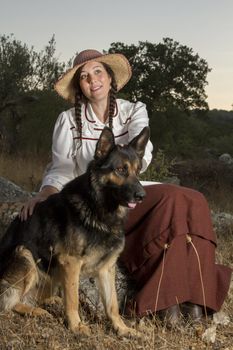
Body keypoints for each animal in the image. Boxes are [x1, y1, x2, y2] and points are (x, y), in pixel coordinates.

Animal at [0, 126, 149, 336]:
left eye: (138, 171)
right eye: (121, 170)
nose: (142, 196)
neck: (98, 208)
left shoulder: (106, 268)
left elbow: (112, 305)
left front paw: (122, 328)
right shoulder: (71, 263)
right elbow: (73, 299)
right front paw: (76, 326)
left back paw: (51, 302)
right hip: (25, 255)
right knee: (12, 301)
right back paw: (36, 311)